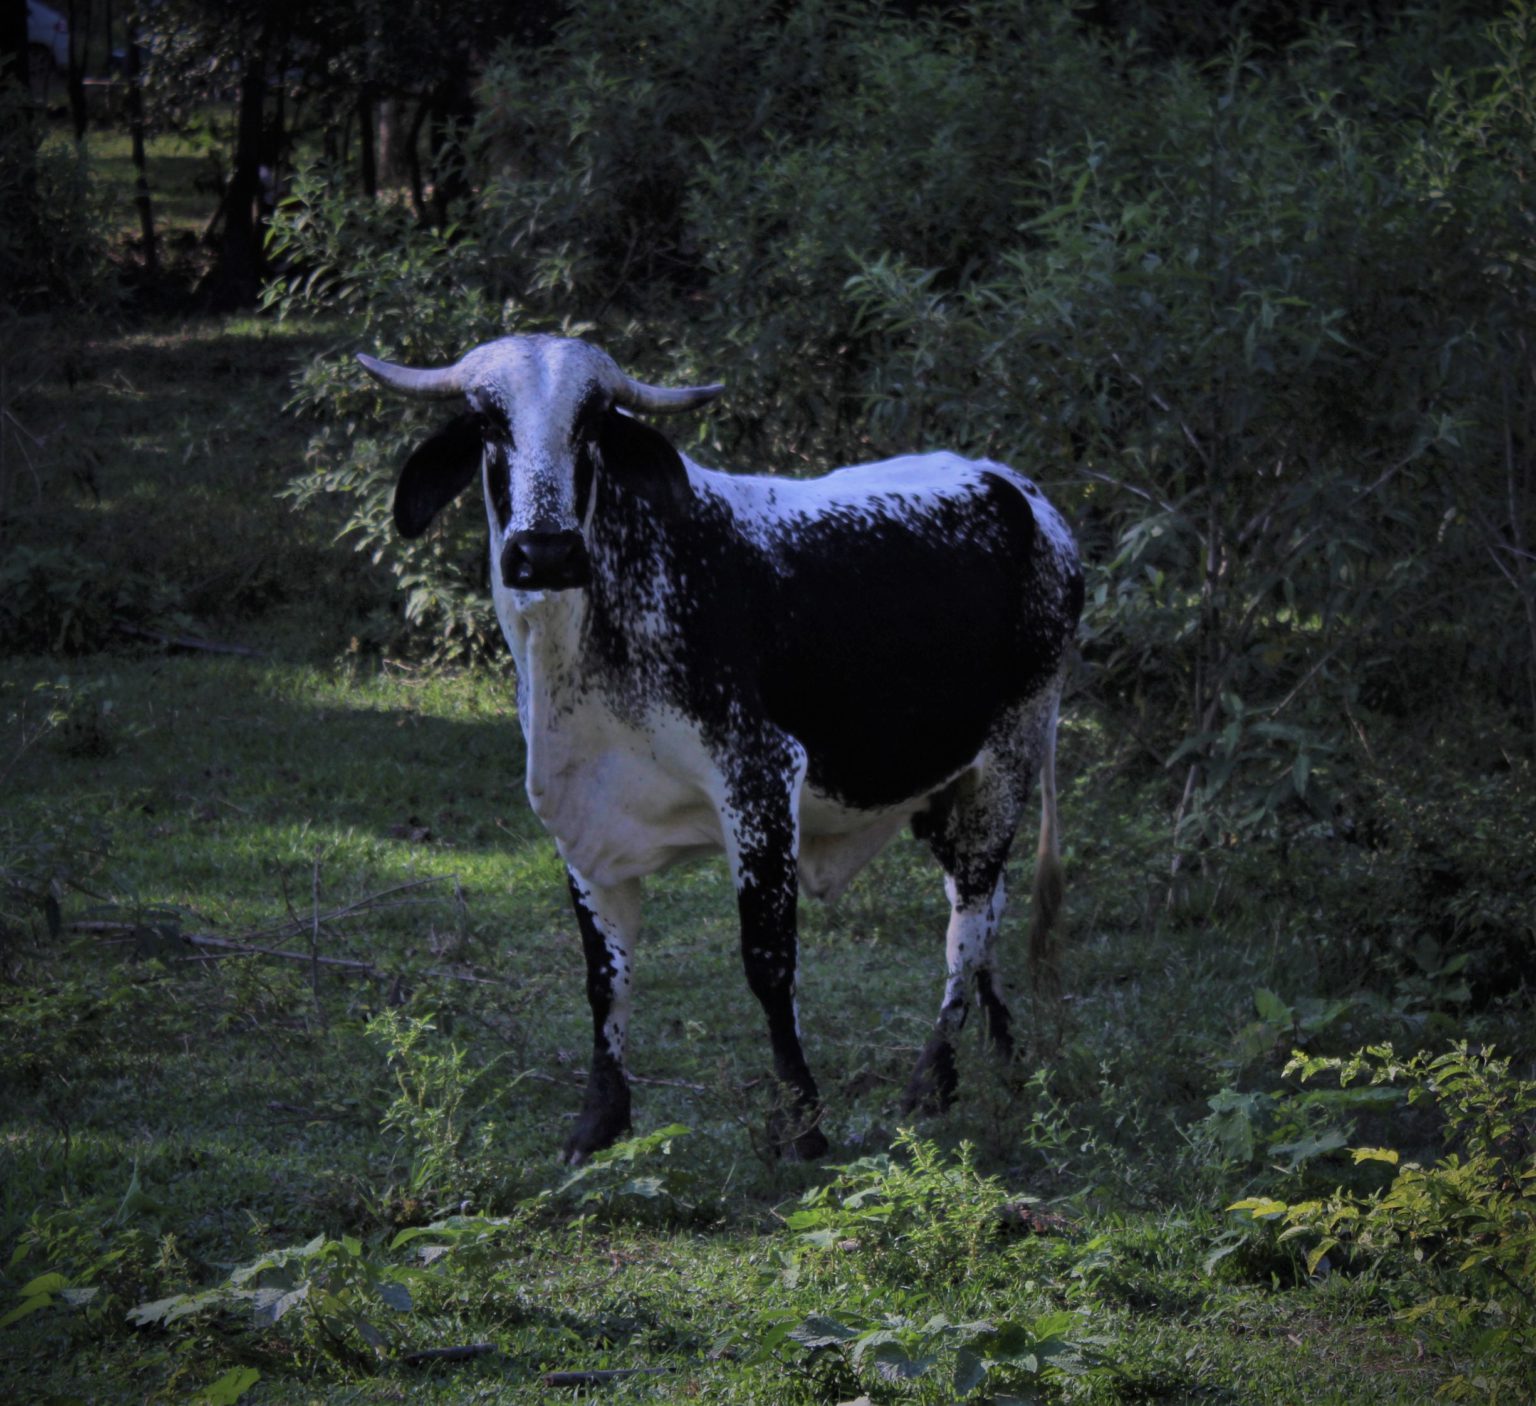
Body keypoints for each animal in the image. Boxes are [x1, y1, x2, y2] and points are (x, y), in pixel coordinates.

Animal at [358, 334, 1083, 1164]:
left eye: (594, 424)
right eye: (486, 423)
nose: (544, 552)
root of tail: (1025, 492)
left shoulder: (759, 783)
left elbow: (768, 965)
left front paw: (802, 1122)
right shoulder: (579, 817)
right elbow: (605, 976)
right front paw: (597, 1122)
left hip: (1009, 757)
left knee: (968, 924)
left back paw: (931, 1081)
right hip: (940, 787)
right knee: (985, 909)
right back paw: (999, 1059)